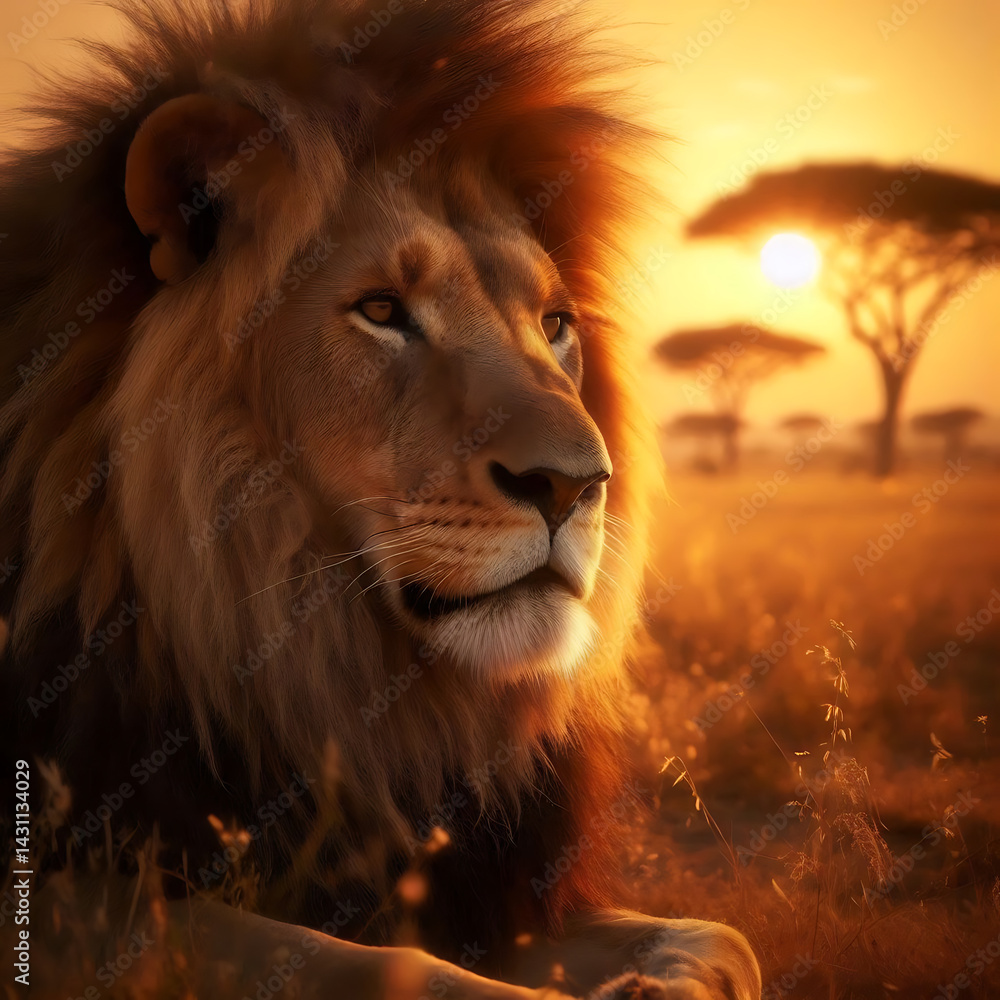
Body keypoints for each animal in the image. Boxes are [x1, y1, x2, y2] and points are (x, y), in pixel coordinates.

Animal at [0, 1, 761, 997]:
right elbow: (373, 965)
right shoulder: (79, 886)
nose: (576, 484)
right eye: (382, 310)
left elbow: (720, 935)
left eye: (555, 324)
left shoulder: (494, 888)